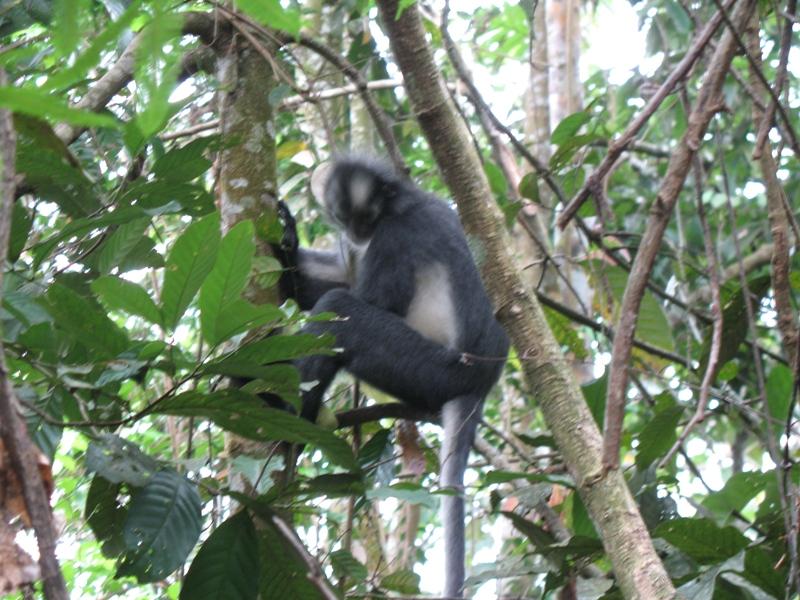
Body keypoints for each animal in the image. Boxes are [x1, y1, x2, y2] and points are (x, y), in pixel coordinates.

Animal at [272, 156, 510, 596]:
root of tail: (480, 381)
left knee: (342, 310)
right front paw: (286, 243)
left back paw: (281, 415)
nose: (356, 233)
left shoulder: (396, 235)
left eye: (367, 217)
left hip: (432, 369)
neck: (398, 204)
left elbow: (363, 301)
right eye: (342, 217)